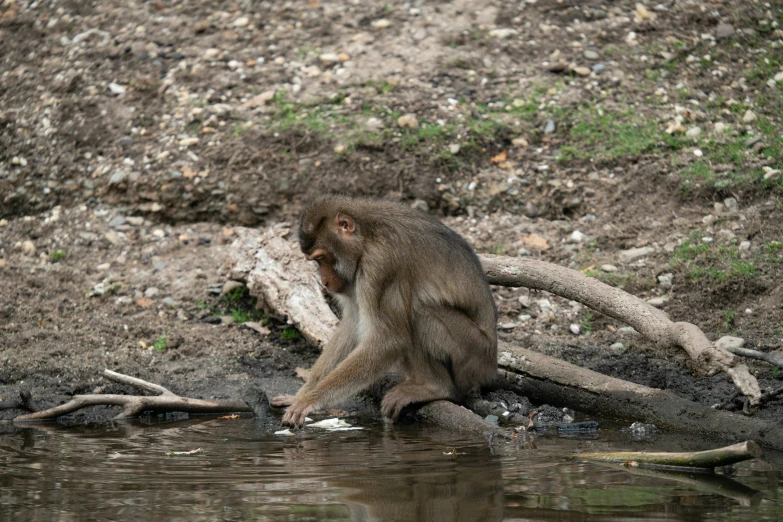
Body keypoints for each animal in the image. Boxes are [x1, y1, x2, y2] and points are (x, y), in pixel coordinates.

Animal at [272, 193, 500, 424]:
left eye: (320, 258)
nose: (325, 281)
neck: (366, 237)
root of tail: (491, 365)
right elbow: (352, 324)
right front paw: (301, 394)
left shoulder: (381, 264)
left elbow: (390, 340)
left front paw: (310, 400)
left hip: (473, 354)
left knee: (420, 312)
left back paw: (436, 387)